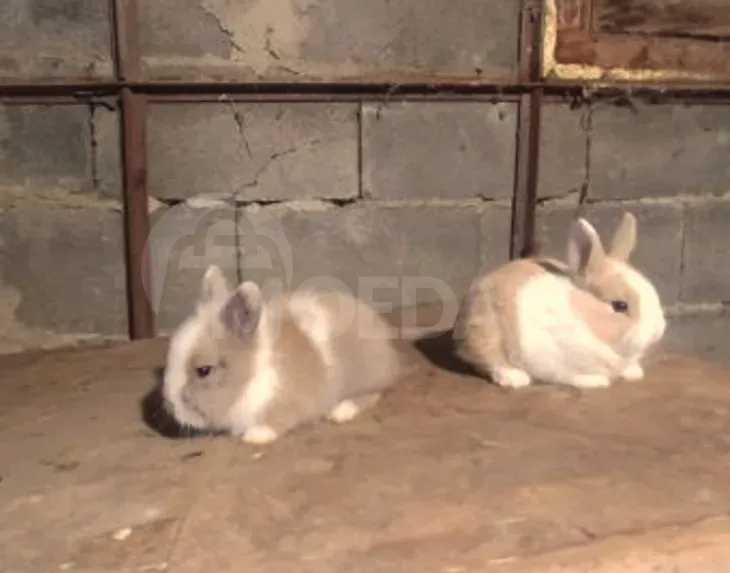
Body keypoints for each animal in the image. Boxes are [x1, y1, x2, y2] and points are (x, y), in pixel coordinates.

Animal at [161, 265, 404, 445]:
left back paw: (341, 411)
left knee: (374, 394)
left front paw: (255, 436)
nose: (171, 407)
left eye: (203, 371)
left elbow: (277, 420)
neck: (250, 374)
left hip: (365, 378)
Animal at [452, 211, 666, 390]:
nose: (658, 332)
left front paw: (634, 373)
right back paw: (515, 378)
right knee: (490, 360)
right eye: (620, 305)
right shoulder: (551, 359)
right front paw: (596, 381)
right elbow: (569, 375)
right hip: (485, 332)